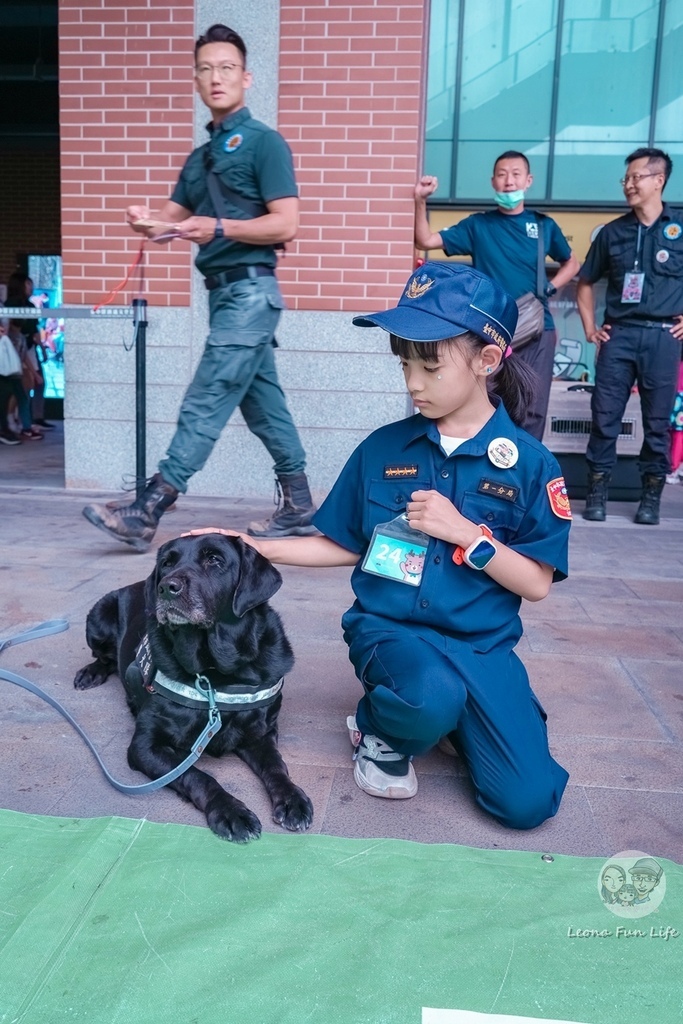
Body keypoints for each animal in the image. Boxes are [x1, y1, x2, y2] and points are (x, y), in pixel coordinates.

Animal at [73, 532, 313, 843]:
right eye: (167, 562)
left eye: (215, 560)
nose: (166, 587)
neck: (215, 673)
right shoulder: (145, 745)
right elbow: (197, 776)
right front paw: (231, 812)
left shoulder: (261, 733)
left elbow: (276, 765)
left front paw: (292, 799)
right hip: (98, 616)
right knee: (104, 658)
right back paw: (91, 673)